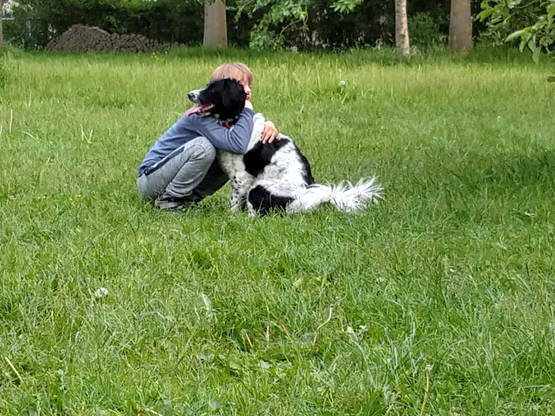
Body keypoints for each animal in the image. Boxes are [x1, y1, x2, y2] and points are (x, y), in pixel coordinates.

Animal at [188, 78, 382, 216]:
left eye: (212, 89)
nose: (189, 94)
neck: (234, 122)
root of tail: (305, 197)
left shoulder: (241, 178)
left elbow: (235, 202)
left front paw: (231, 217)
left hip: (259, 188)